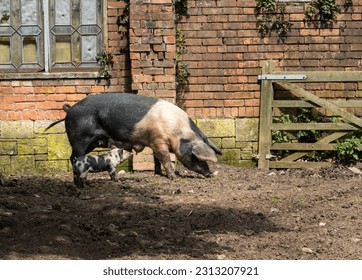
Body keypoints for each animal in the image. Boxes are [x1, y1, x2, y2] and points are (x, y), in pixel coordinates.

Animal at [44, 92, 221, 179]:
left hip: (90, 142)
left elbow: (156, 159)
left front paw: (158, 174)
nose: (210, 174)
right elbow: (164, 158)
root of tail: (70, 109)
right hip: (79, 138)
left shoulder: (154, 141)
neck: (177, 131)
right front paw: (173, 178)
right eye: (196, 157)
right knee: (74, 157)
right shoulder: (159, 140)